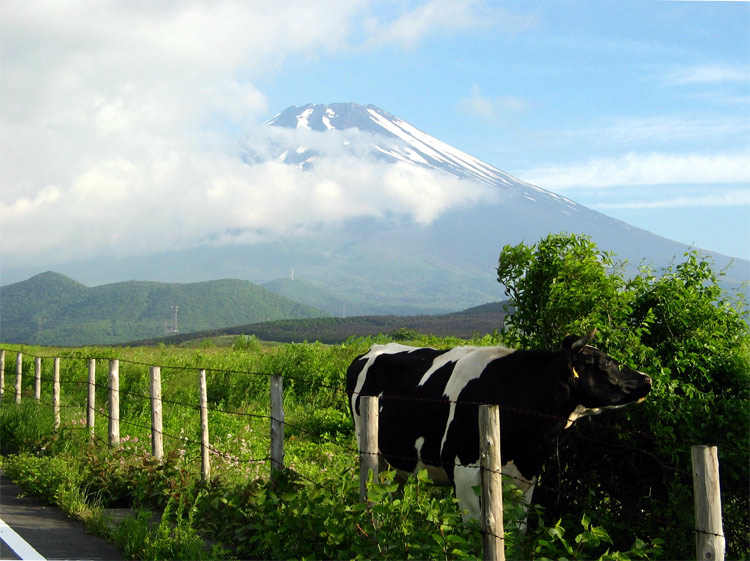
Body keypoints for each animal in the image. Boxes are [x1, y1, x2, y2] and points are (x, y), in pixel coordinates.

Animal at [346, 330, 652, 520]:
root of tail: (373, 349)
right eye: (603, 362)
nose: (646, 378)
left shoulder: (526, 479)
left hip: (399, 459)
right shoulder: (464, 476)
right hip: (369, 449)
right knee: (371, 489)